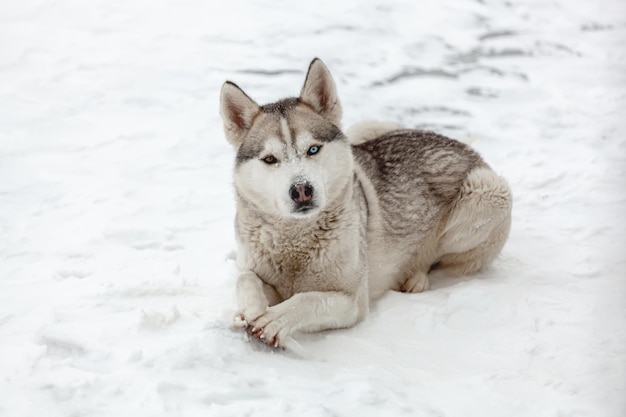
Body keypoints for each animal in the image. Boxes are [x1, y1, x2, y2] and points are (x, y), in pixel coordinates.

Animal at [217, 57, 510, 346]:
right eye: (270, 159)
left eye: (313, 149)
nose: (301, 190)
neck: (295, 241)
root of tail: (462, 145)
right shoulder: (259, 271)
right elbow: (245, 278)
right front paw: (251, 310)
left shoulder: (351, 303)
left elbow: (308, 299)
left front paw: (277, 319)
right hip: (363, 129)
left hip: (488, 194)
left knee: (442, 263)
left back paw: (416, 276)